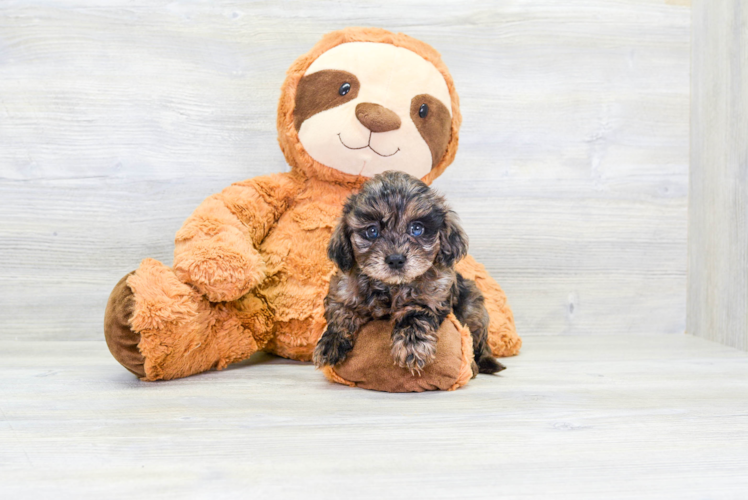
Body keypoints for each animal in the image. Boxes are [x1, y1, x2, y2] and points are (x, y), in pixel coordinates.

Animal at [312, 170, 506, 374]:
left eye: (417, 228)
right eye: (372, 231)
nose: (395, 259)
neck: (391, 286)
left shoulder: (434, 295)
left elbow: (415, 314)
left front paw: (412, 345)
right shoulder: (343, 290)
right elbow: (340, 313)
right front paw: (331, 343)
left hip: (473, 308)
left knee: (477, 341)